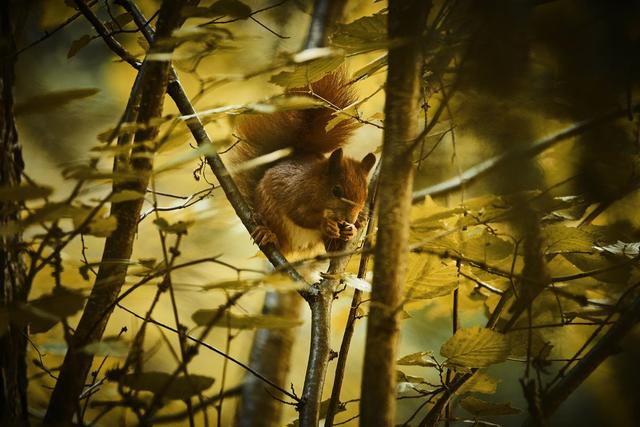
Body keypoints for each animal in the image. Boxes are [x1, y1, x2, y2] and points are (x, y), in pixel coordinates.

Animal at [228, 71, 376, 257]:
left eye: (365, 193)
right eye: (336, 191)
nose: (350, 219)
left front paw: (352, 229)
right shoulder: (296, 194)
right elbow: (299, 215)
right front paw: (325, 224)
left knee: (331, 249)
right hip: (271, 213)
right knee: (280, 241)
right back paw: (268, 234)